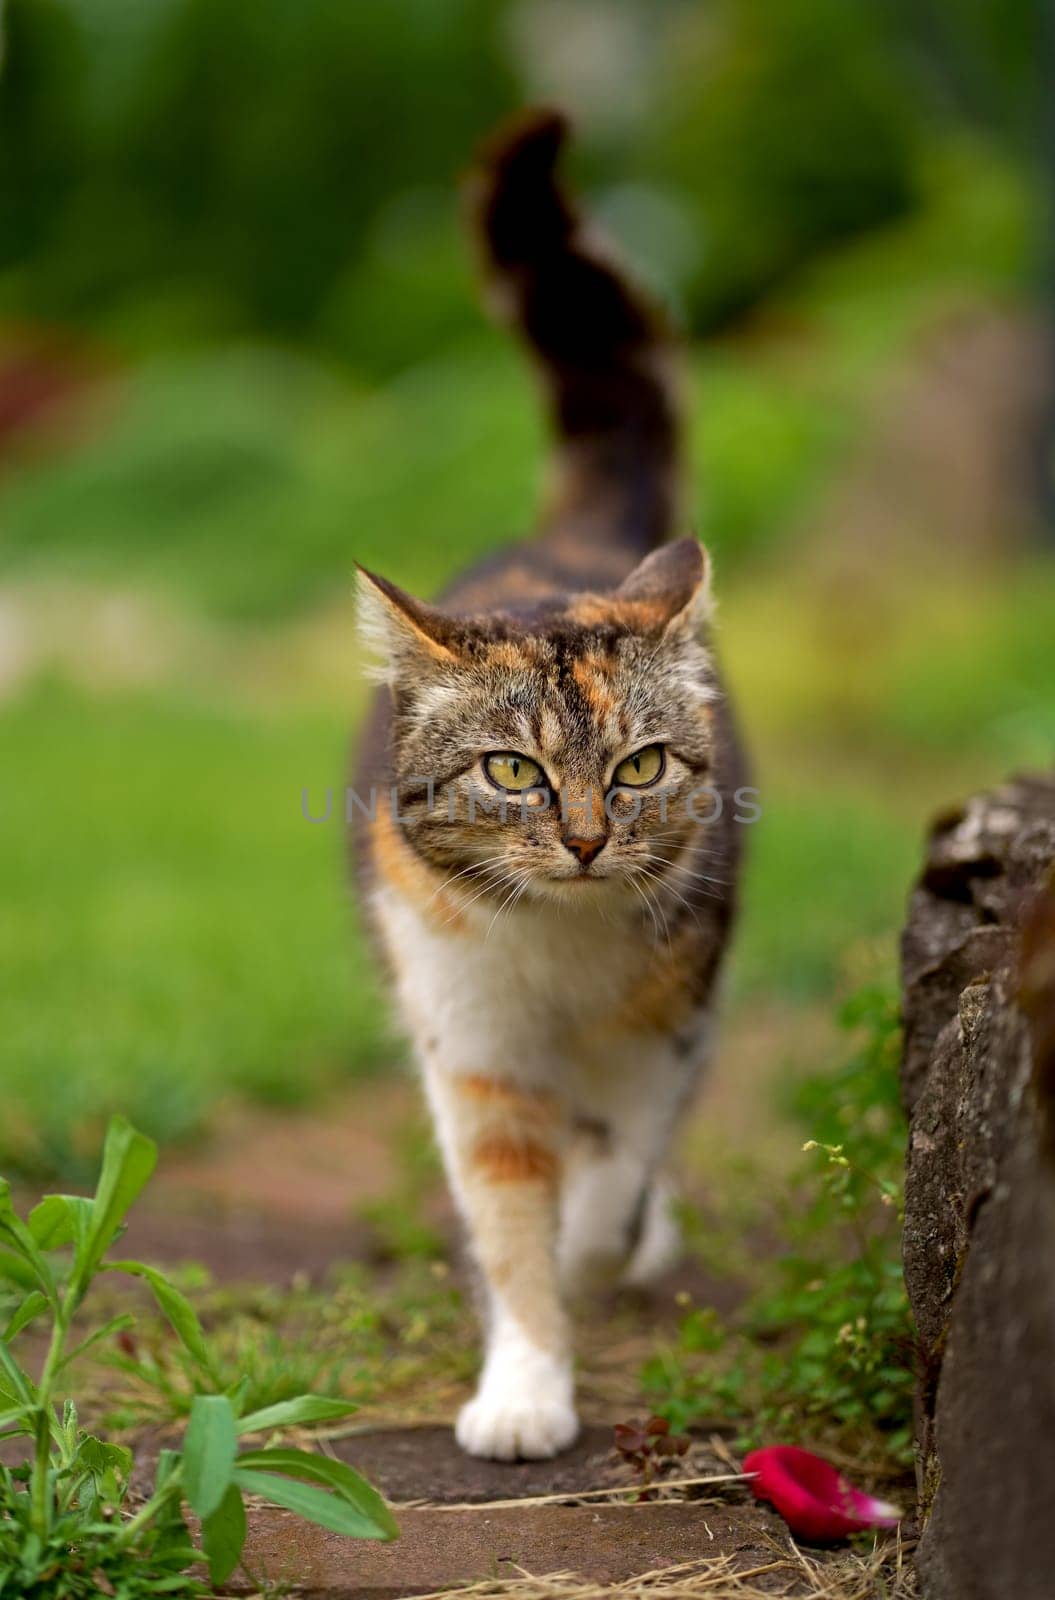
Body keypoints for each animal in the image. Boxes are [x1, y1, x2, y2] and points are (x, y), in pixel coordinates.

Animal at [350, 109, 746, 1465]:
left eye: (639, 766)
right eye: (512, 771)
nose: (580, 840)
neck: (560, 947)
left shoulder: (669, 1015)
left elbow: (615, 1171)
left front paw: (597, 1249)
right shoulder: (468, 1035)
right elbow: (508, 1206)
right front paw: (524, 1387)